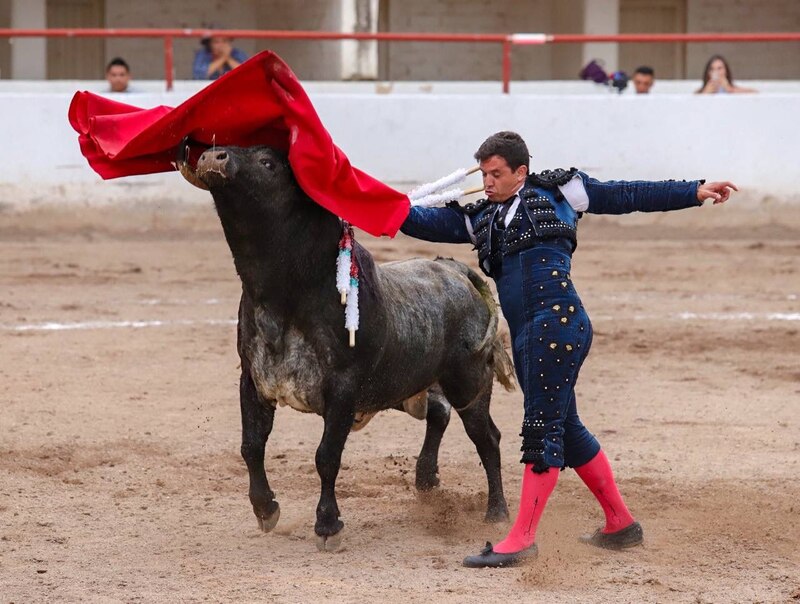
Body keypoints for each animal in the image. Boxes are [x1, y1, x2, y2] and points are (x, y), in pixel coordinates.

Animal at [179, 144, 516, 548]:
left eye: (268, 162)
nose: (213, 156)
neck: (283, 294)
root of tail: (453, 269)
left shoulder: (342, 387)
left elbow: (326, 456)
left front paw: (328, 525)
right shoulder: (254, 378)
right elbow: (252, 445)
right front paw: (266, 510)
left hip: (468, 384)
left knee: (487, 437)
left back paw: (496, 513)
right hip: (397, 386)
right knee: (439, 411)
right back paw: (426, 480)